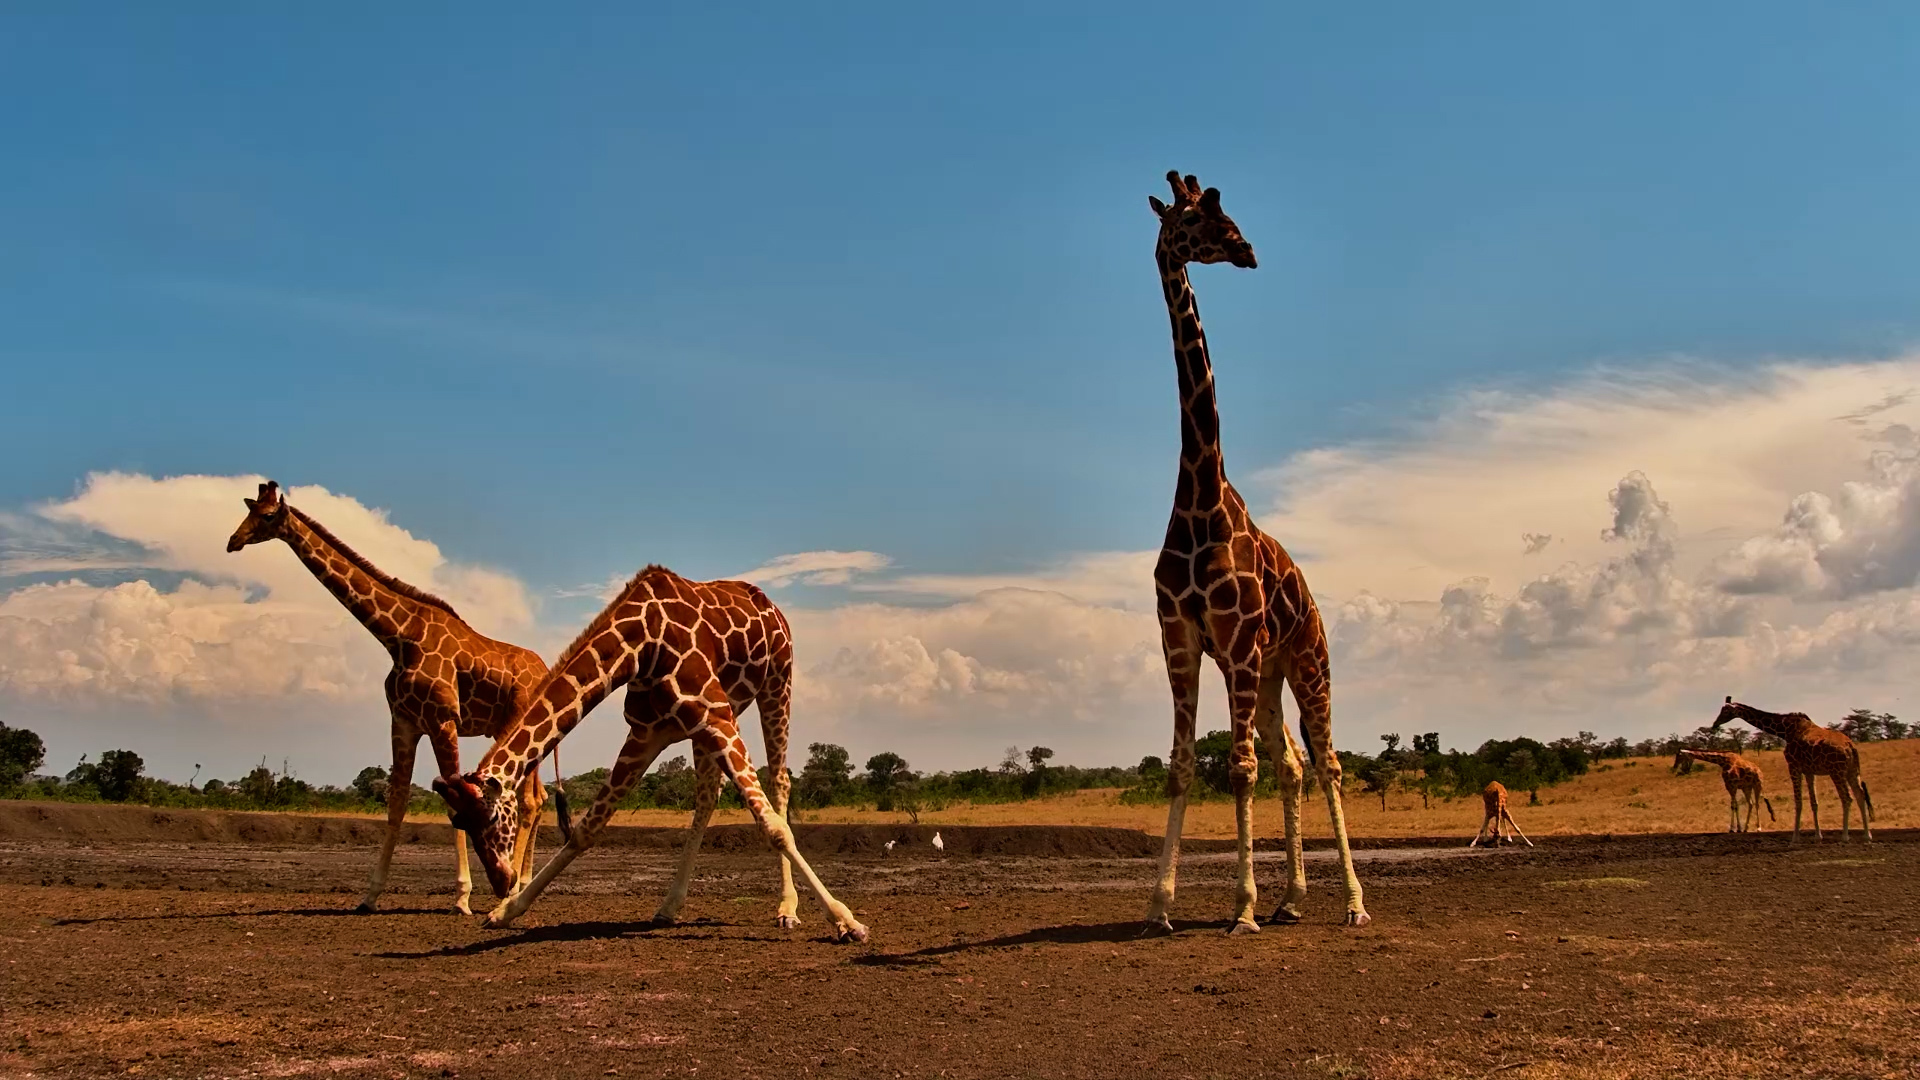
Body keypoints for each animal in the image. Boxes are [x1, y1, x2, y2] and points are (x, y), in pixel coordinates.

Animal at [226, 480, 547, 913]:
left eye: (268, 515)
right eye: (248, 510)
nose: (233, 541)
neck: (397, 636)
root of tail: (546, 670)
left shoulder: (443, 720)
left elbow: (453, 802)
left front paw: (463, 897)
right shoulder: (405, 722)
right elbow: (396, 805)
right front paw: (370, 894)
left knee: (528, 799)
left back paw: (514, 887)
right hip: (505, 731)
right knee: (537, 798)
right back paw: (523, 882)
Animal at [433, 565, 866, 941]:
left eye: (491, 819)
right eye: (460, 822)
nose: (500, 882)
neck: (640, 643)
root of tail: (770, 604)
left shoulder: (714, 715)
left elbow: (773, 826)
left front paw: (846, 921)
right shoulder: (647, 733)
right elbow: (588, 828)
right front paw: (505, 912)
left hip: (776, 684)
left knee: (779, 784)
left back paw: (787, 910)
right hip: (715, 721)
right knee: (707, 797)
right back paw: (669, 907)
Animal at [1143, 171, 1369, 933]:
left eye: (1223, 210)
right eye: (1199, 218)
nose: (1248, 251)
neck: (1199, 498)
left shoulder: (1236, 641)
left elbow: (1238, 768)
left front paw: (1239, 907)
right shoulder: (1182, 636)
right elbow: (1184, 765)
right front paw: (1160, 907)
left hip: (1307, 660)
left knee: (1327, 762)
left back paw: (1352, 904)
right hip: (1269, 673)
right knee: (1292, 762)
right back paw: (1292, 900)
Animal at [1713, 697, 1873, 843]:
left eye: (1725, 711)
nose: (1715, 724)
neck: (1784, 731)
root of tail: (1850, 747)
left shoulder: (1793, 766)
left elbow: (1798, 801)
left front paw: (1795, 837)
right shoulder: (1809, 771)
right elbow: (1814, 802)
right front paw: (1818, 836)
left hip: (1837, 771)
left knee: (1847, 798)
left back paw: (1845, 836)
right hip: (1853, 770)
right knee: (1860, 795)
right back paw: (1867, 835)